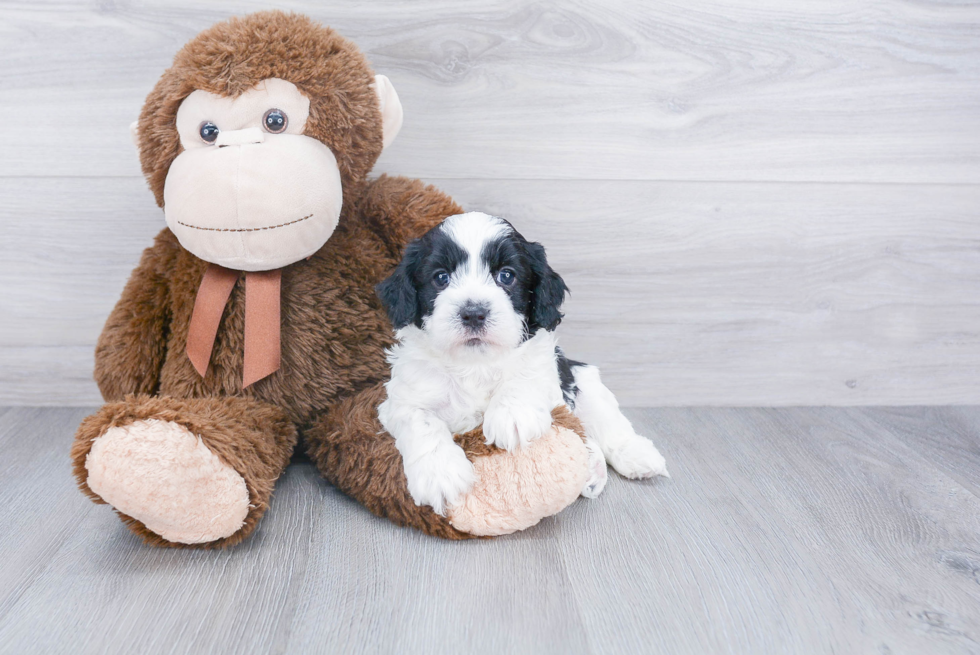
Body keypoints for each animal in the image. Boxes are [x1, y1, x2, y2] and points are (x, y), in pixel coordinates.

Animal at [374, 213, 668, 516]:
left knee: (608, 423)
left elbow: (527, 372)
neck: (474, 364)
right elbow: (422, 421)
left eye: (506, 275)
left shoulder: (546, 365)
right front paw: (440, 473)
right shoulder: (402, 399)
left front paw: (512, 414)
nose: (474, 313)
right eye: (441, 277)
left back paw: (636, 455)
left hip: (584, 378)